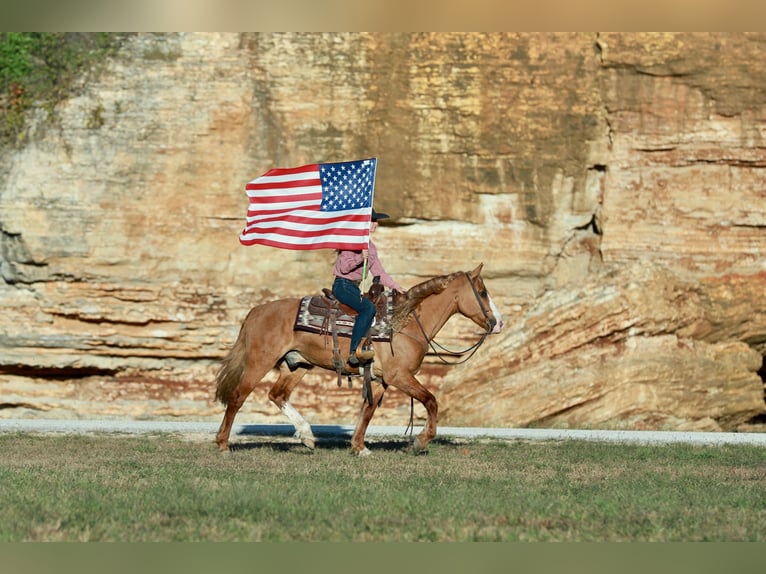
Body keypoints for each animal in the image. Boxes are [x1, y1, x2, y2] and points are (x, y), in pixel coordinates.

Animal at [214, 263, 504, 456]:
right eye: (483, 292)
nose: (499, 322)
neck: (404, 322)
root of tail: (257, 310)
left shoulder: (380, 380)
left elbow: (368, 410)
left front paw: (358, 446)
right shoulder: (400, 376)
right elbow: (431, 401)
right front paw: (420, 441)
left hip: (298, 365)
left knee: (277, 395)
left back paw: (307, 436)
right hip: (259, 362)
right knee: (238, 397)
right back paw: (223, 443)